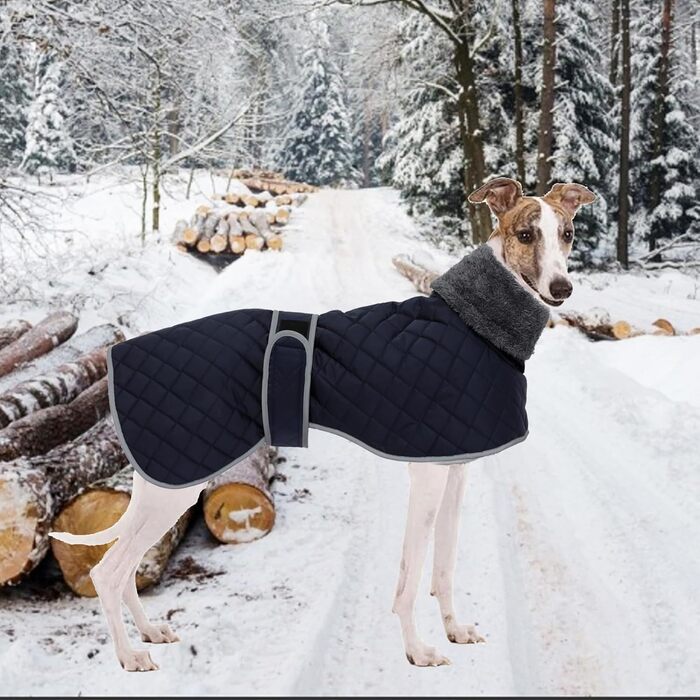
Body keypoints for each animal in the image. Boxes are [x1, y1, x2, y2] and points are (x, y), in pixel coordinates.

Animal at [52, 178, 592, 668]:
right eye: (525, 234)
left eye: (567, 233)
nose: (562, 289)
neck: (476, 324)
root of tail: (121, 351)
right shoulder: (427, 475)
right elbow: (410, 575)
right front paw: (417, 650)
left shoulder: (456, 471)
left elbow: (442, 567)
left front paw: (455, 630)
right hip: (175, 482)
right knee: (108, 572)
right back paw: (129, 655)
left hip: (165, 480)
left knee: (124, 568)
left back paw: (149, 633)